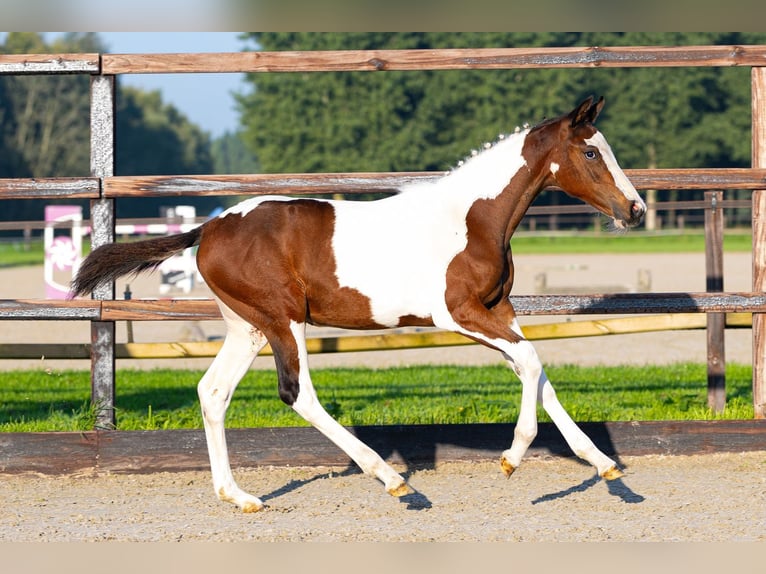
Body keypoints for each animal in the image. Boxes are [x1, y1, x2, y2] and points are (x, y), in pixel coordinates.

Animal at [71, 96, 646, 513]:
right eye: (591, 153)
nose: (636, 210)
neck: (471, 217)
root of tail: (208, 228)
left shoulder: (498, 311)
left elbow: (537, 371)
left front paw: (605, 466)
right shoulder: (458, 313)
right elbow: (529, 362)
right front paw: (512, 457)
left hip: (248, 327)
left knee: (213, 392)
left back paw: (240, 497)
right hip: (285, 319)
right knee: (298, 393)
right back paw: (392, 480)